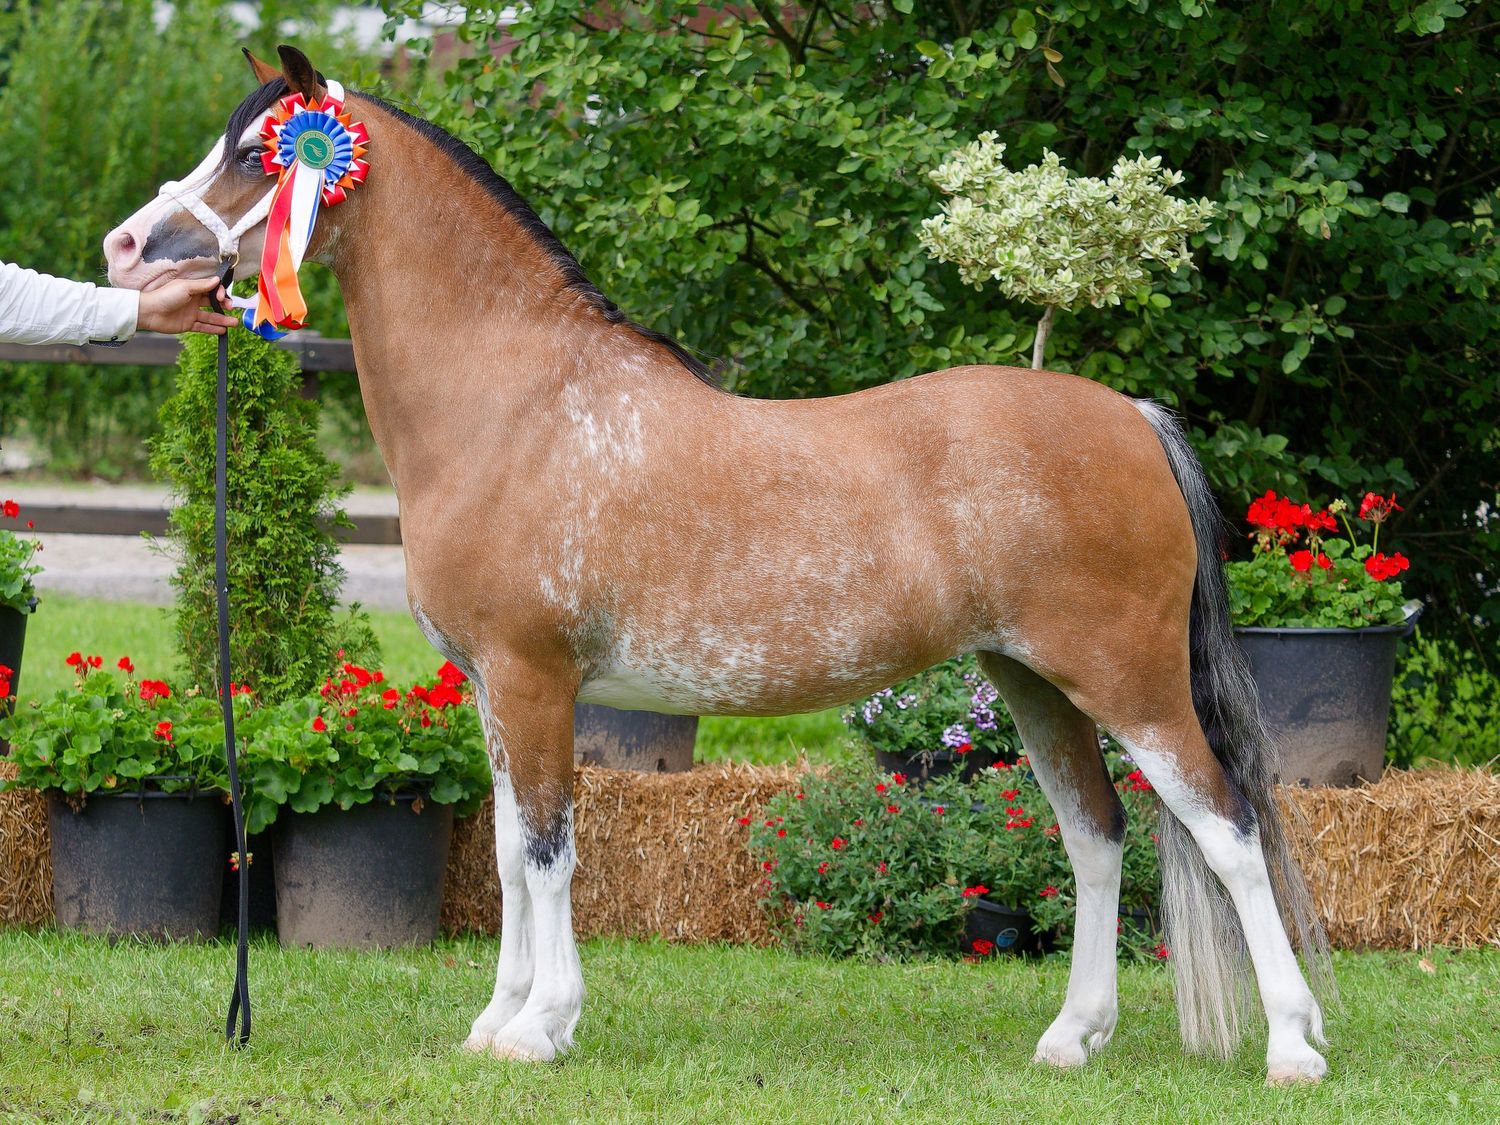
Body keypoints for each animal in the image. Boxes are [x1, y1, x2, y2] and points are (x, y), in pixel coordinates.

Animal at [103, 45, 1332, 1083]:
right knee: (1096, 837)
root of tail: (1130, 416)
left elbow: (548, 851)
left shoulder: (536, 679)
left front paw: (543, 1027)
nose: (127, 249)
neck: (519, 405)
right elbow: (502, 852)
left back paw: (1292, 1047)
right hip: (1033, 682)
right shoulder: (494, 689)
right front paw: (497, 1020)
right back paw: (1073, 1037)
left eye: (259, 154)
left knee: (1227, 830)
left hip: (1129, 681)